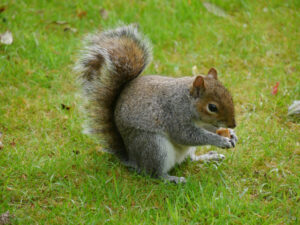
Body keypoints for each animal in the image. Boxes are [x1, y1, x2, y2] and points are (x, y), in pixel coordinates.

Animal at [76, 24, 238, 183]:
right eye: (212, 107)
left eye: (230, 96)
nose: (233, 124)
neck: (186, 101)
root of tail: (133, 159)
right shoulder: (175, 115)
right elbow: (187, 135)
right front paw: (220, 140)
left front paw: (231, 134)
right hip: (154, 146)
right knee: (153, 173)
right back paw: (171, 178)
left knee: (190, 159)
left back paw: (207, 157)